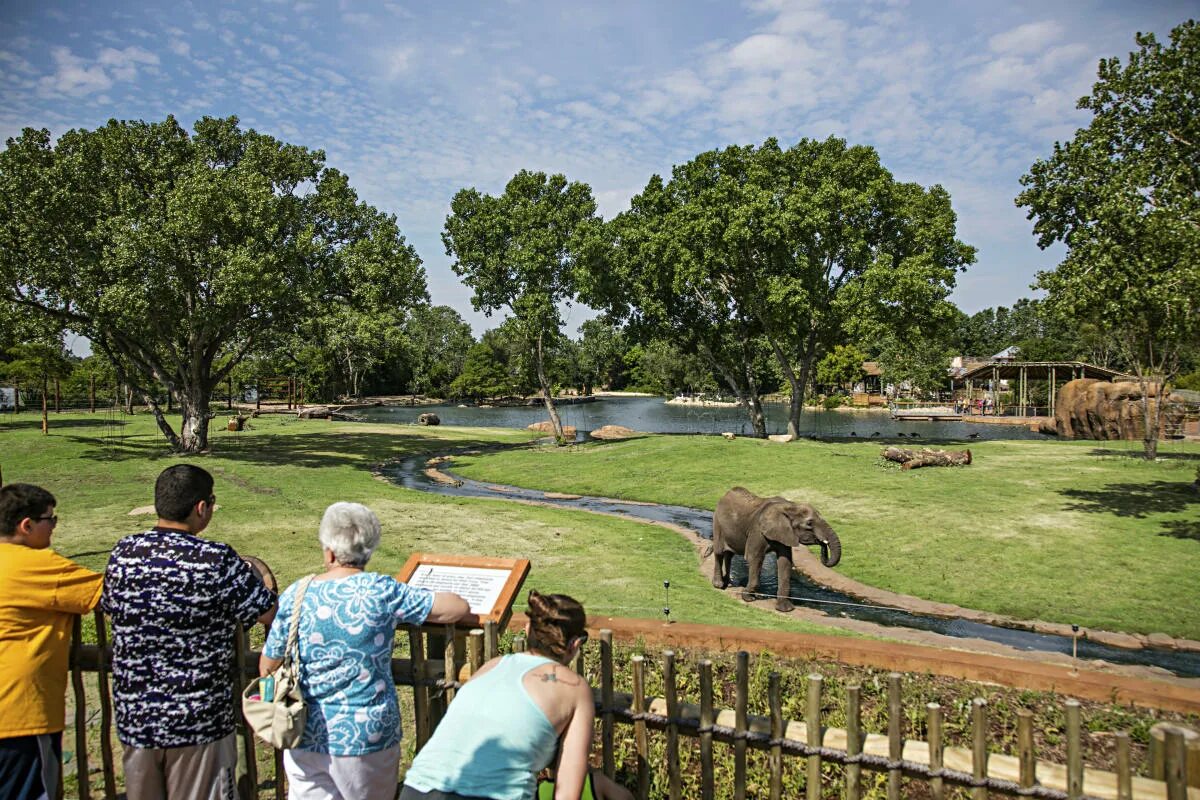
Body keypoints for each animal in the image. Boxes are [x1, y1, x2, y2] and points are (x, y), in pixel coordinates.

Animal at [705, 489, 840, 614]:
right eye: (809, 523)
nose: (823, 543)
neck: (790, 506)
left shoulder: (785, 533)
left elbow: (785, 562)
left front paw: (785, 609)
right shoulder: (757, 531)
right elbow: (755, 558)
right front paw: (748, 598)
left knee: (729, 554)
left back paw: (728, 582)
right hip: (717, 522)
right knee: (719, 552)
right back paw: (719, 585)